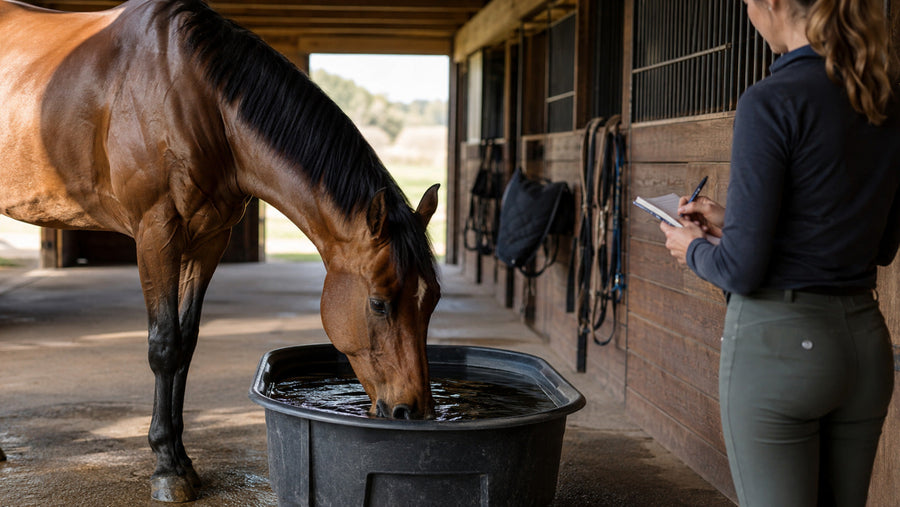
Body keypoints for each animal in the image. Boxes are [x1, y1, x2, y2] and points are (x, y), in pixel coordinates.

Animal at [0, 0, 442, 501]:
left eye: (432, 300)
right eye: (379, 303)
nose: (413, 411)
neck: (196, 97)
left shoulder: (208, 241)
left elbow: (186, 344)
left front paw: (183, 460)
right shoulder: (156, 232)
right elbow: (164, 345)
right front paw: (166, 468)